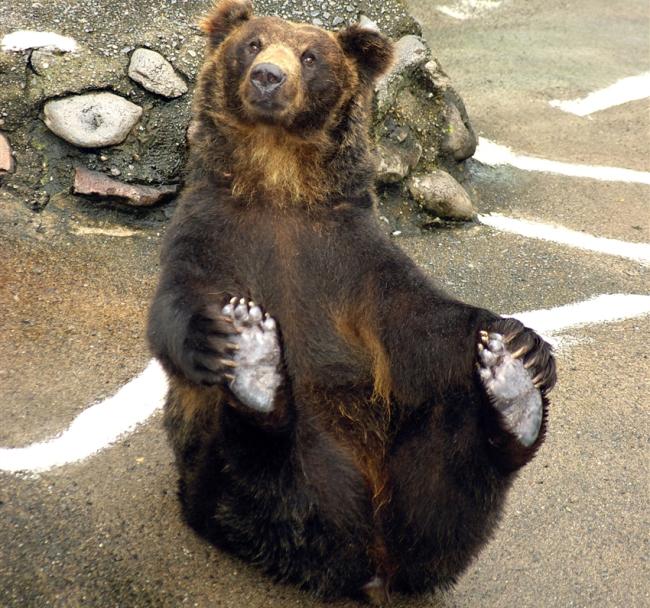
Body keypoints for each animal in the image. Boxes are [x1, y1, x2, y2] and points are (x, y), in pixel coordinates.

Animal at [148, 0, 556, 600]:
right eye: (253, 43)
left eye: (310, 56)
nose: (267, 77)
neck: (278, 185)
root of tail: (372, 555)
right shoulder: (212, 233)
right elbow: (176, 304)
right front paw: (218, 332)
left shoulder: (352, 259)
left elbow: (419, 321)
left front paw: (526, 344)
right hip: (248, 488)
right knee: (266, 483)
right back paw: (255, 372)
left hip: (404, 468)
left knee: (448, 472)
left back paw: (512, 399)